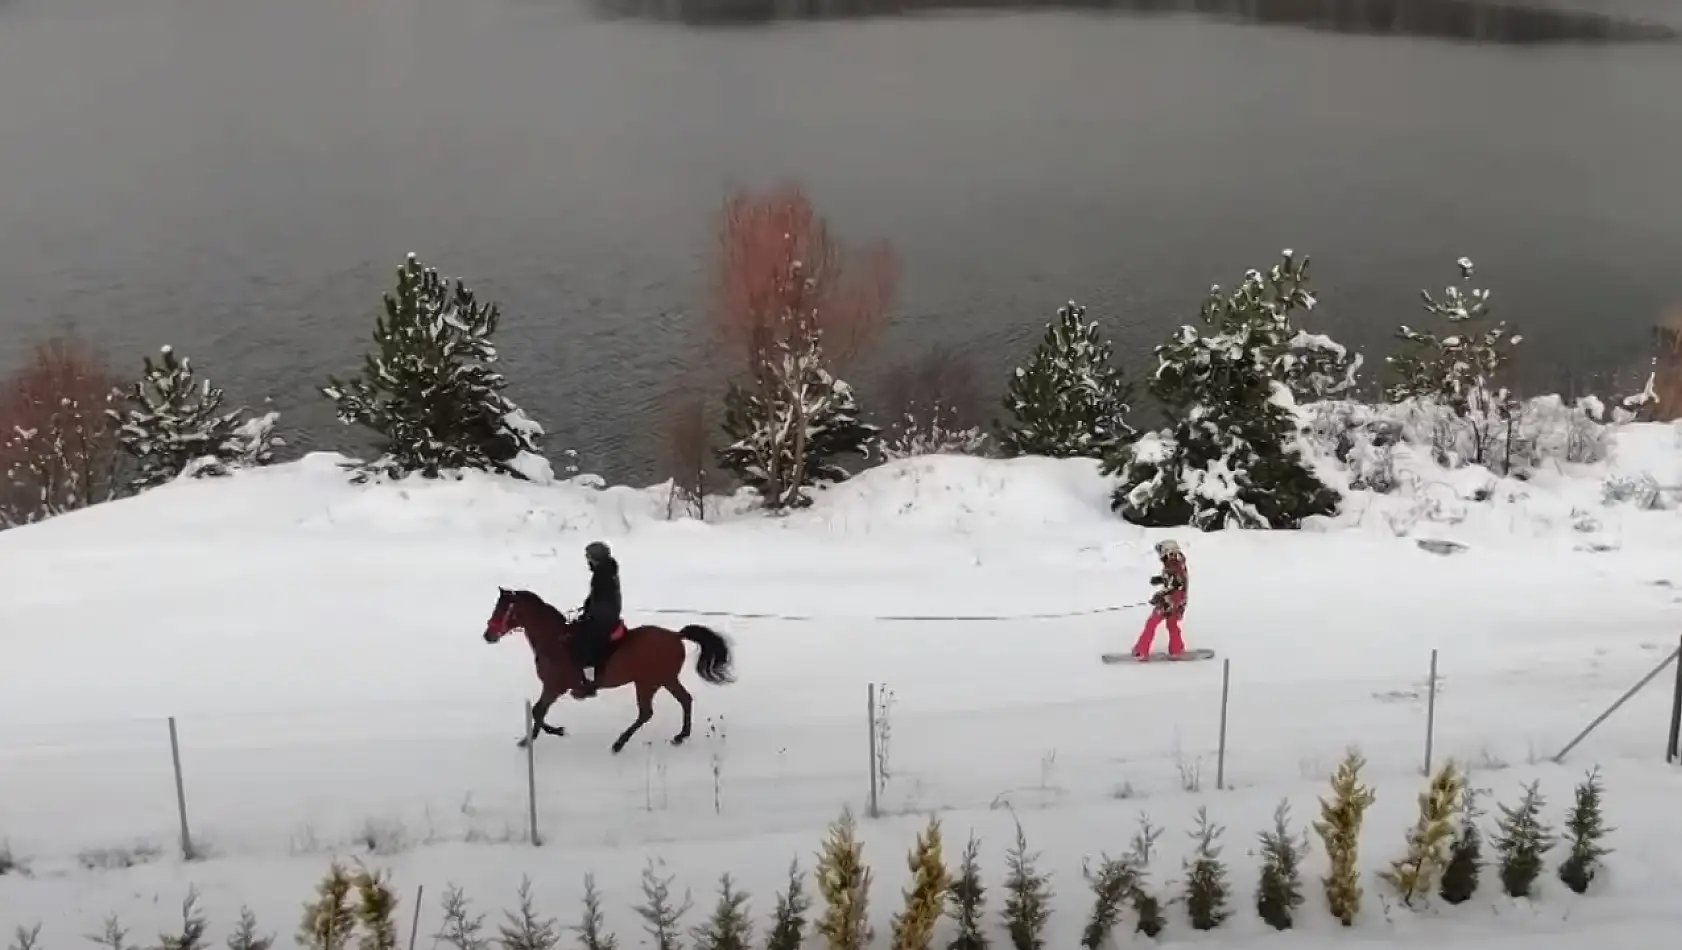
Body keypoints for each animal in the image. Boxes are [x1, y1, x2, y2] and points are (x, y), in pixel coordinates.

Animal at [477, 581, 733, 753]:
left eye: (504, 609)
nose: (488, 635)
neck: (555, 641)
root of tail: (676, 635)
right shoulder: (551, 687)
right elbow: (538, 711)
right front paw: (530, 738)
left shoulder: (555, 686)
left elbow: (538, 711)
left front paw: (553, 732)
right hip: (665, 679)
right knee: (684, 700)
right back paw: (680, 736)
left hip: (648, 682)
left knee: (647, 712)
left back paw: (619, 744)